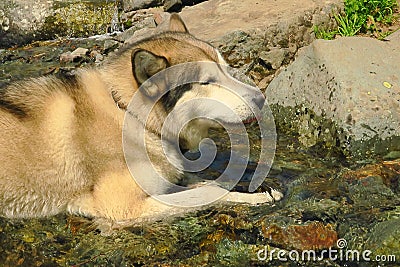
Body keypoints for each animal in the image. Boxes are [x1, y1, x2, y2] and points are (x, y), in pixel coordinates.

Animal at [0, 14, 282, 224]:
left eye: (226, 67)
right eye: (207, 81)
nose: (261, 98)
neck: (130, 114)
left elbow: (207, 183)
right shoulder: (122, 207)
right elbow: (208, 192)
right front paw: (255, 198)